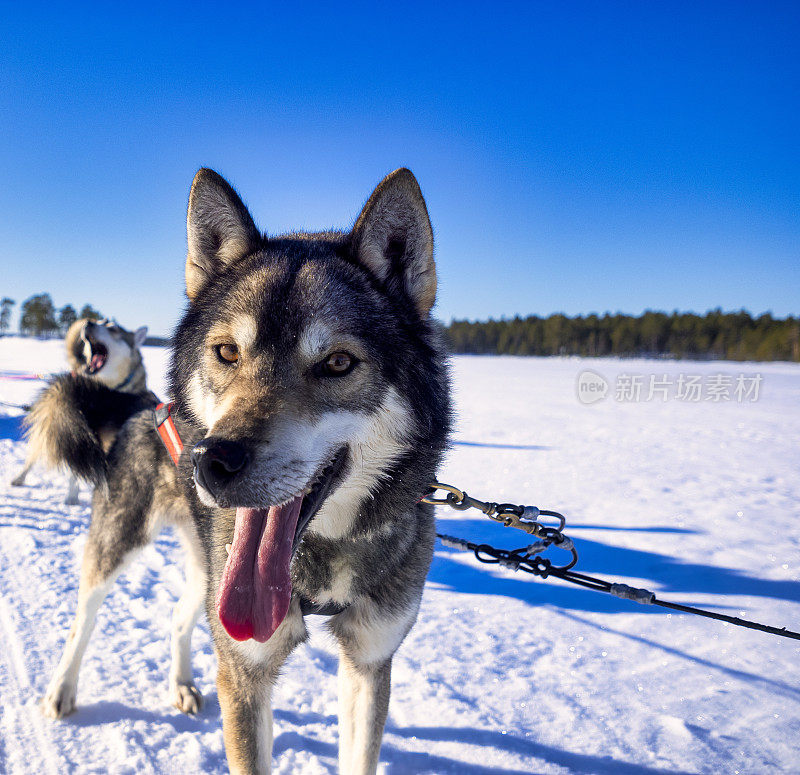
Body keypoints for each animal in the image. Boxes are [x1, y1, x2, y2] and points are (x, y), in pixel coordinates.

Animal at [11, 318, 152, 506]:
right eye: (101, 322)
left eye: (114, 329)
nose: (89, 323)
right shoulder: (76, 431)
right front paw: (72, 496)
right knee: (33, 454)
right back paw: (20, 477)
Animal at [39, 167, 450, 772]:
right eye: (228, 352)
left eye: (338, 363)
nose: (213, 460)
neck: (316, 558)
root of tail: (139, 402)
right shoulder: (244, 676)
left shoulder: (370, 665)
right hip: (121, 543)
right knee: (82, 620)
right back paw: (62, 690)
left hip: (208, 570)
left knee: (179, 618)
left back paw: (182, 685)